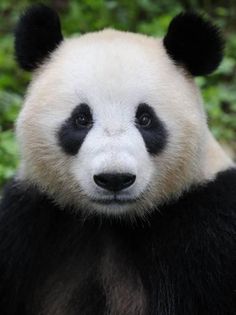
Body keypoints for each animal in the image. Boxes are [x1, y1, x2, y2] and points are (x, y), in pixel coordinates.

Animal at [0, 4, 236, 315]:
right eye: (81, 118)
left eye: (145, 119)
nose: (114, 179)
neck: (113, 221)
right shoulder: (28, 219)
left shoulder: (209, 228)